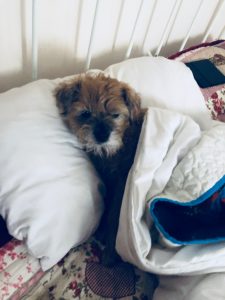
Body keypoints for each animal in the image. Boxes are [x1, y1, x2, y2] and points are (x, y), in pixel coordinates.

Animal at [55, 74, 145, 266]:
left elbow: (113, 216)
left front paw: (110, 251)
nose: (102, 135)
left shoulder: (122, 184)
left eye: (115, 114)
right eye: (85, 114)